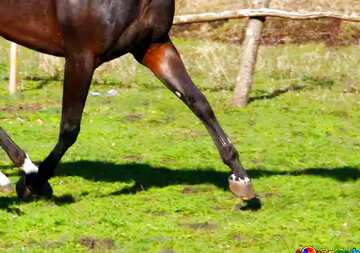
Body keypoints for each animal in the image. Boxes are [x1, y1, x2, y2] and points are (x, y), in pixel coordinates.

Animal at [0, 0, 258, 208]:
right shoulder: (81, 56)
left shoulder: (154, 46)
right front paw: (33, 184)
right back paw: (20, 172)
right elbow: (70, 128)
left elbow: (199, 103)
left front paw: (241, 179)